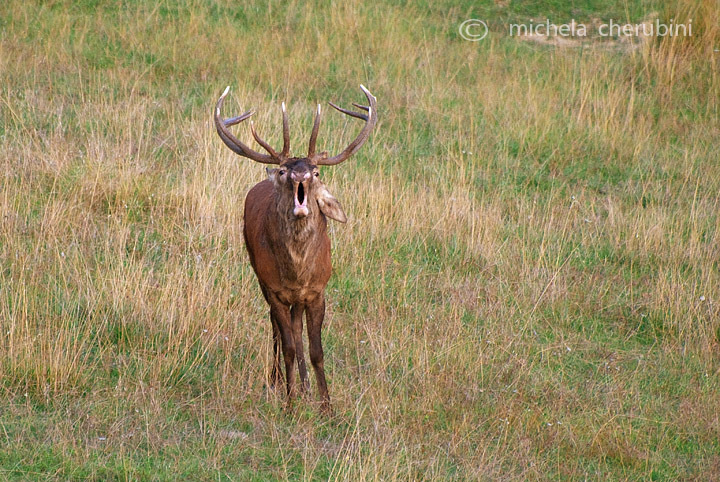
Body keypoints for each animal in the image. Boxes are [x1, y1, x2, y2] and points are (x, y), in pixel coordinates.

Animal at [212, 84, 376, 410]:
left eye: (316, 172)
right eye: (283, 171)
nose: (300, 175)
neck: (297, 273)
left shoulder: (318, 290)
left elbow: (316, 350)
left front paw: (326, 405)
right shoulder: (274, 289)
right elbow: (287, 345)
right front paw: (289, 404)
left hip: (298, 299)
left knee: (296, 328)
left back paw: (304, 385)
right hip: (260, 277)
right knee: (277, 328)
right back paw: (278, 381)